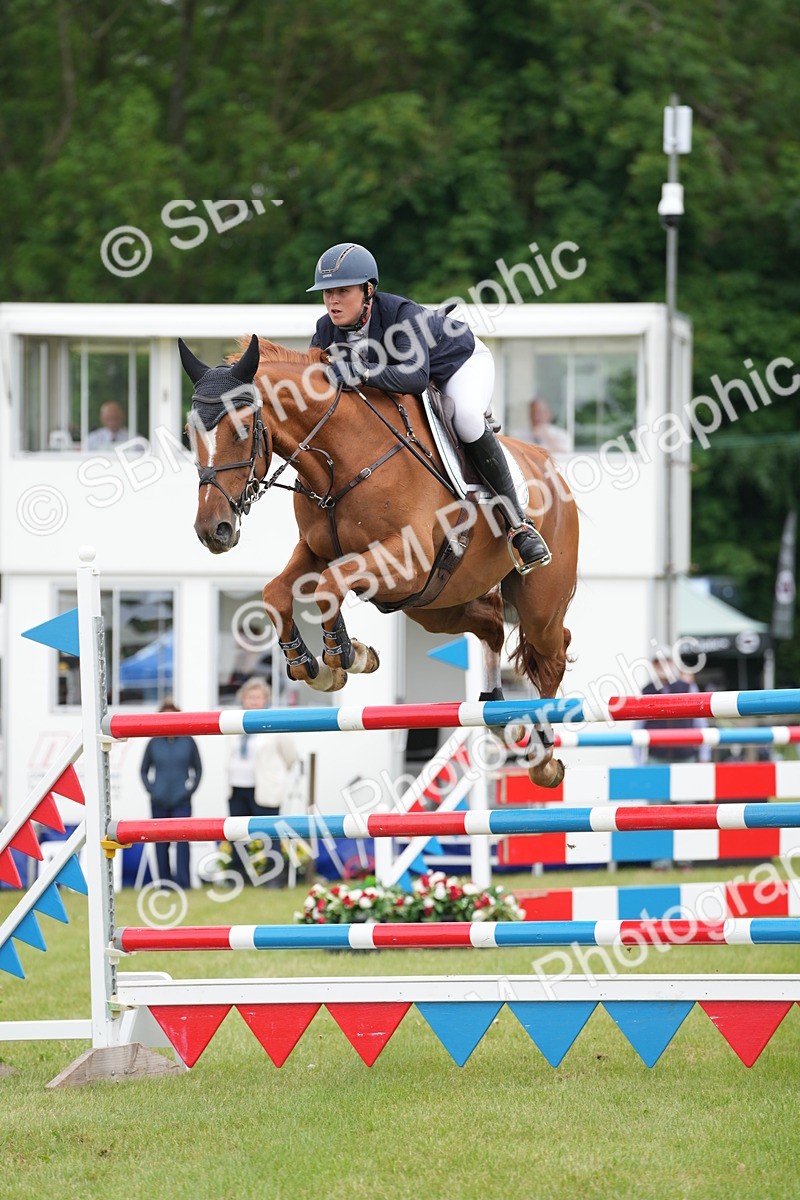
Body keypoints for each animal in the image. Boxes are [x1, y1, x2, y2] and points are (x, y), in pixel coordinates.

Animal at [179, 333, 579, 786]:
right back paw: (495, 708)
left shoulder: (406, 560)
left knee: (552, 654)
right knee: (492, 625)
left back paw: (543, 757)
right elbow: (276, 593)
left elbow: (331, 583)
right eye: (189, 434)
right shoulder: (317, 551)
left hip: (536, 604)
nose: (213, 530)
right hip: (436, 604)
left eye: (243, 429)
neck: (341, 456)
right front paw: (316, 664)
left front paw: (343, 654)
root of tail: (548, 465)